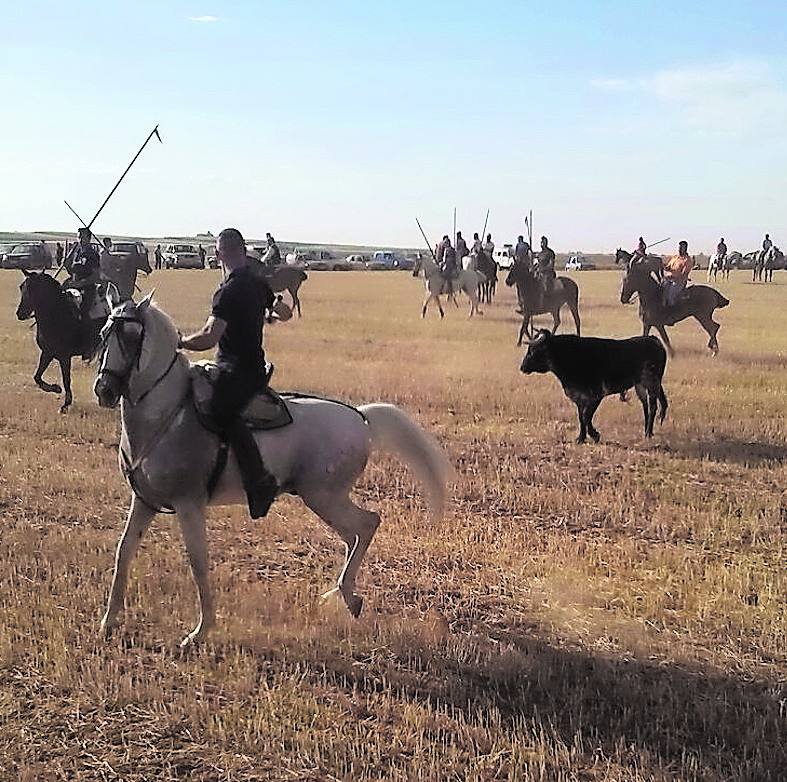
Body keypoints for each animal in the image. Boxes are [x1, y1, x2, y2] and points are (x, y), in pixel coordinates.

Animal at [94, 294, 452, 648]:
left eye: (131, 336)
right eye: (103, 335)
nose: (104, 390)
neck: (168, 414)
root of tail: (359, 416)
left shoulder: (189, 503)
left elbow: (198, 562)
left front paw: (200, 632)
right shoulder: (145, 501)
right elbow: (124, 552)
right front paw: (108, 622)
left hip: (324, 497)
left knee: (366, 525)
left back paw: (347, 595)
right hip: (326, 499)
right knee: (354, 535)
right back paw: (344, 595)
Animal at [520, 328, 668, 444]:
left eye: (533, 350)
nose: (522, 367)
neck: (570, 356)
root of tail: (653, 339)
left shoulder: (596, 395)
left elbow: (586, 416)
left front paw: (595, 435)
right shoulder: (579, 397)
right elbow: (581, 417)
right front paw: (581, 438)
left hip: (652, 383)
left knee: (653, 407)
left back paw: (648, 433)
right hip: (640, 386)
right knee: (646, 406)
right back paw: (646, 431)